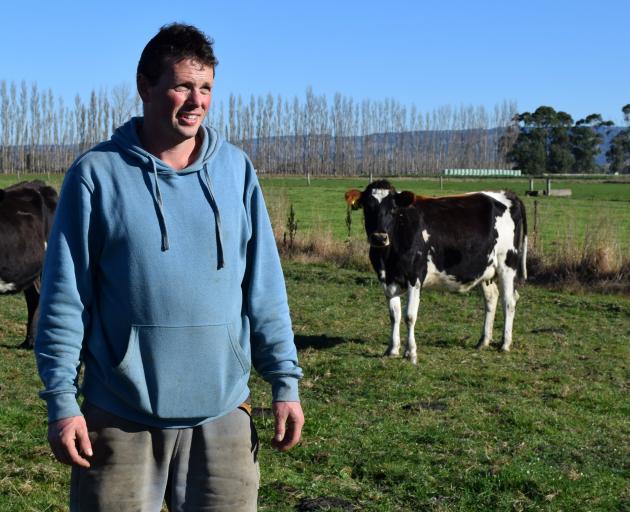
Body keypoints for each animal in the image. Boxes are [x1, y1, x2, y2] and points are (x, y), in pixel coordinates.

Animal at [346, 180, 528, 364]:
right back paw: (483, 341)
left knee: (509, 301)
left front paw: (411, 352)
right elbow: (394, 315)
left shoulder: (415, 276)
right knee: (491, 298)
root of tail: (507, 193)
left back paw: (505, 344)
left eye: (393, 209)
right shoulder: (387, 279)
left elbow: (409, 316)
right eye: (367, 207)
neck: (388, 256)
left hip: (507, 265)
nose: (379, 238)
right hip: (485, 269)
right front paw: (392, 349)